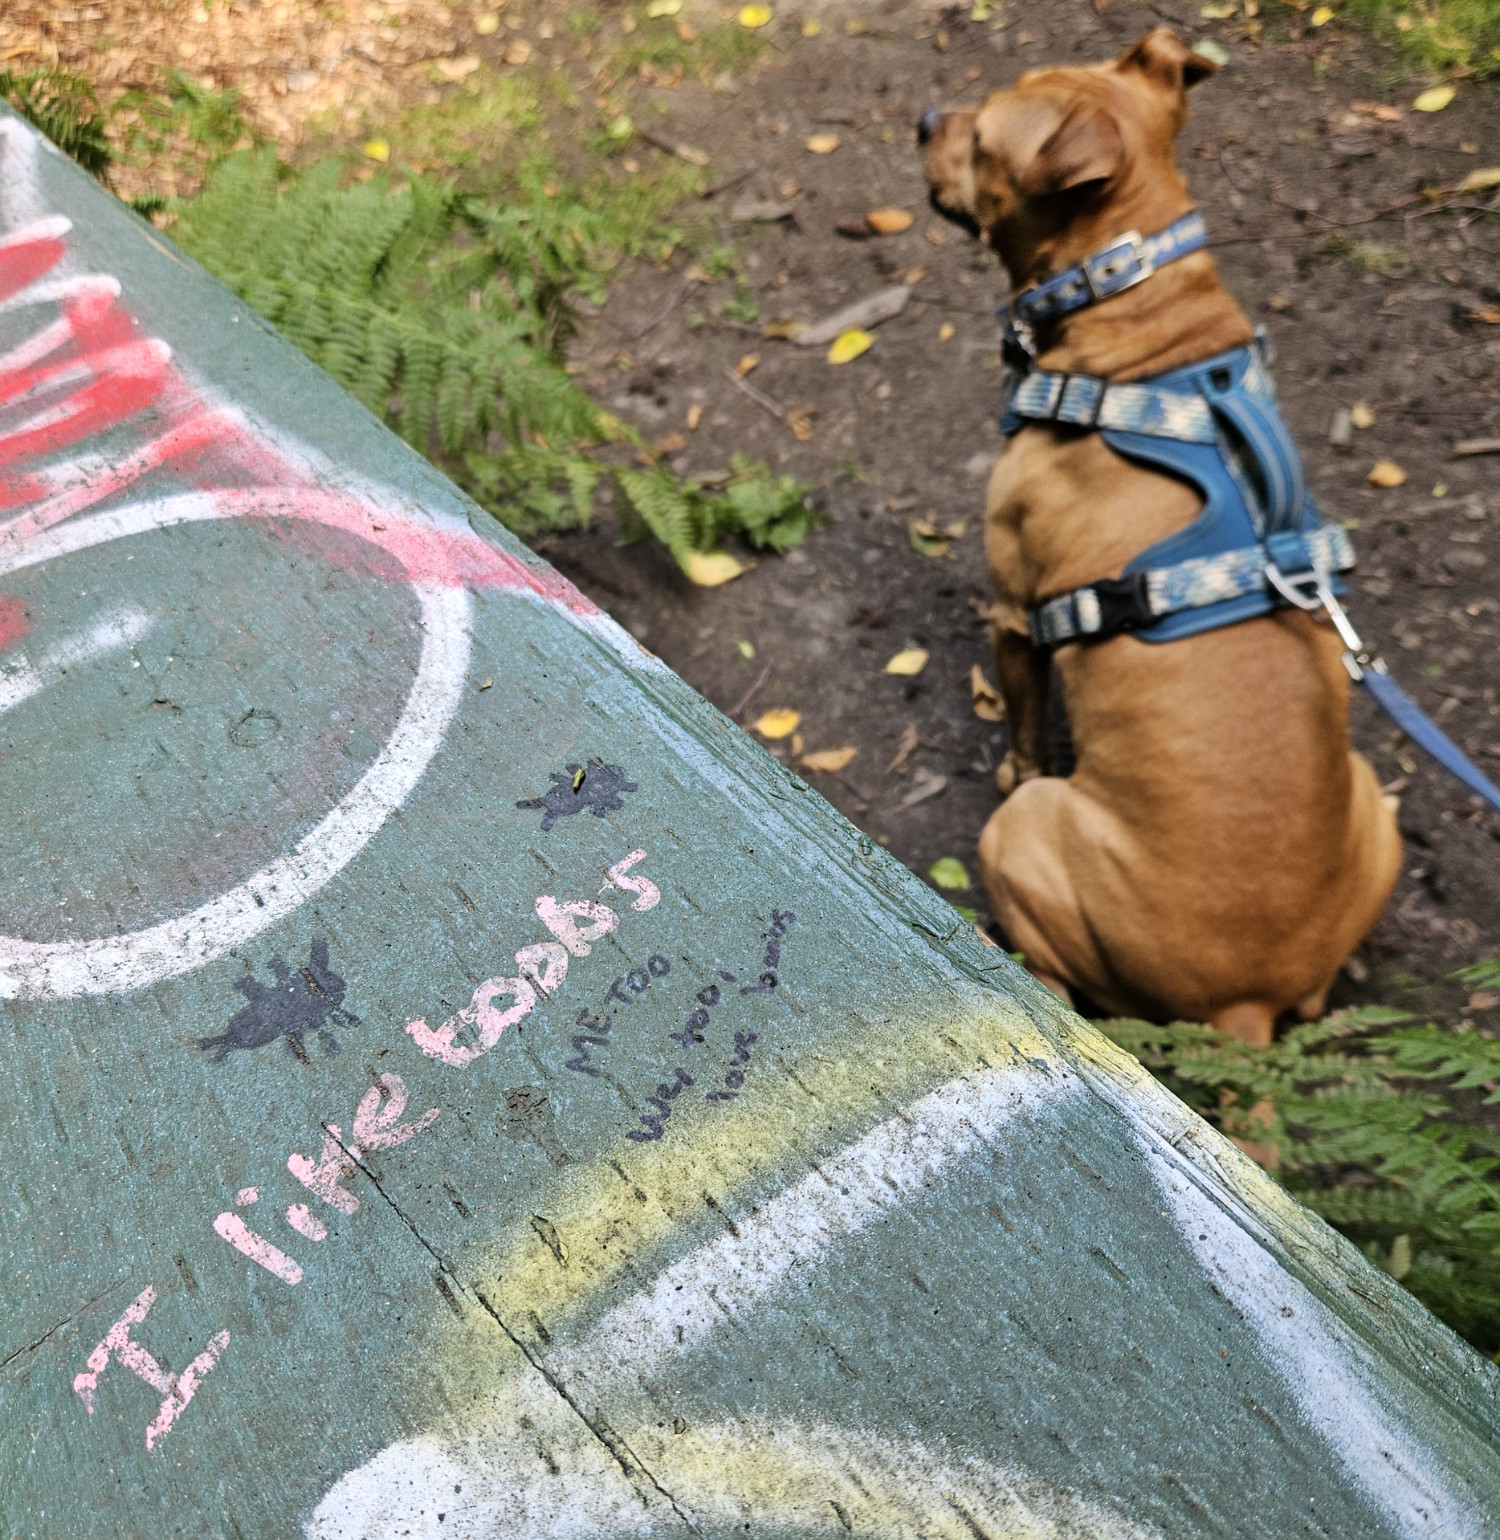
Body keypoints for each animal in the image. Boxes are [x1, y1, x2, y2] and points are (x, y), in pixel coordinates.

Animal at [924, 24, 1404, 1041]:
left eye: (980, 137)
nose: (923, 117)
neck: (1136, 312)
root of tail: (1246, 1005)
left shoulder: (1014, 613)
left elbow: (1022, 720)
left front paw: (1011, 754)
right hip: (1372, 810)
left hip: (1022, 836)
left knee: (1060, 978)